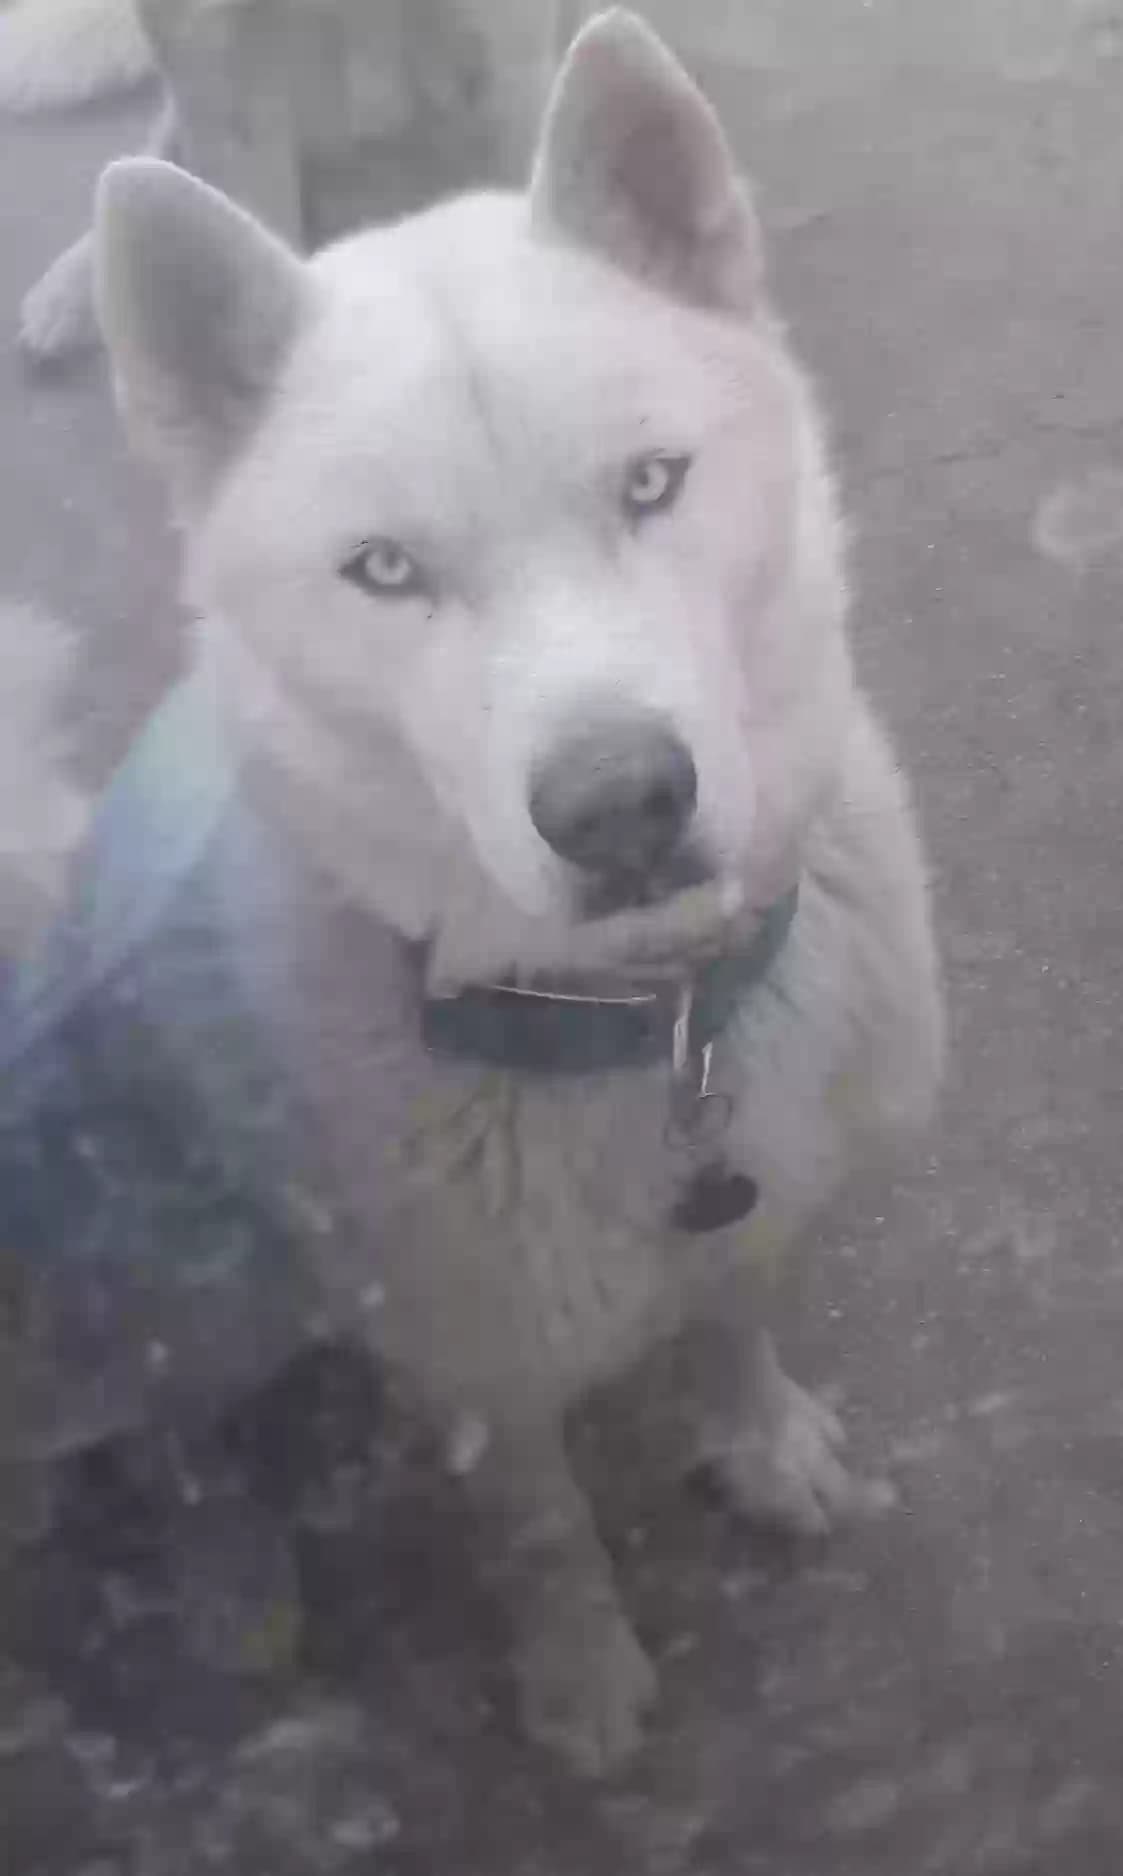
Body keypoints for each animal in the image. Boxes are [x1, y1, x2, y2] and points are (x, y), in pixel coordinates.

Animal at [0, 10, 942, 1776]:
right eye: (383, 571)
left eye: (651, 483)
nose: (622, 808)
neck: (646, 1027)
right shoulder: (469, 1343)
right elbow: (534, 1519)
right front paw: (577, 1670)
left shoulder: (759, 1203)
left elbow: (732, 1319)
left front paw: (756, 1439)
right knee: (167, 1429)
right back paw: (228, 1584)